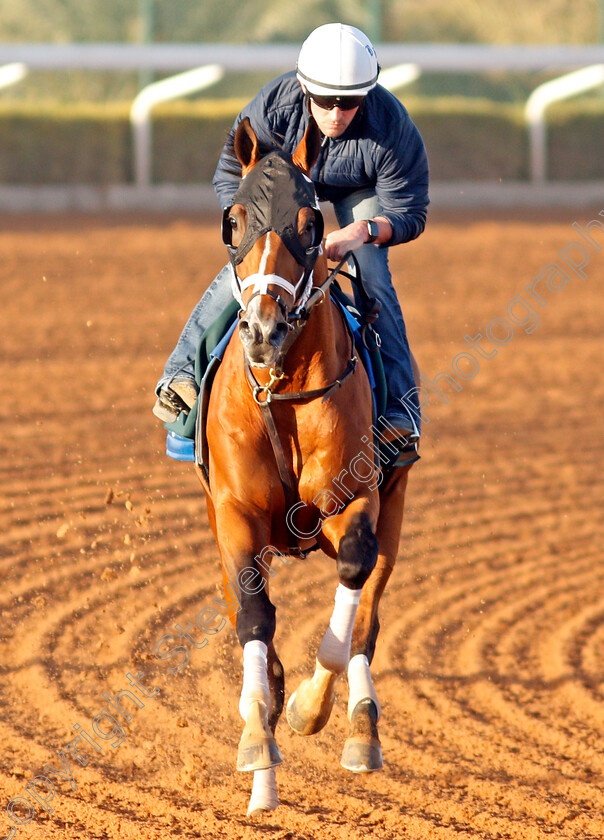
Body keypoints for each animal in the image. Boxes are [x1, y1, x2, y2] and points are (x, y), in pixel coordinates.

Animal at [196, 116, 418, 812]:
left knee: (367, 614)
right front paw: (258, 752)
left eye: (312, 222)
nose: (263, 329)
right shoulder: (234, 515)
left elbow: (348, 596)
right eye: (234, 220)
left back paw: (362, 730)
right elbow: (254, 618)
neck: (282, 390)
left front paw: (306, 709)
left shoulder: (358, 502)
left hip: (394, 511)